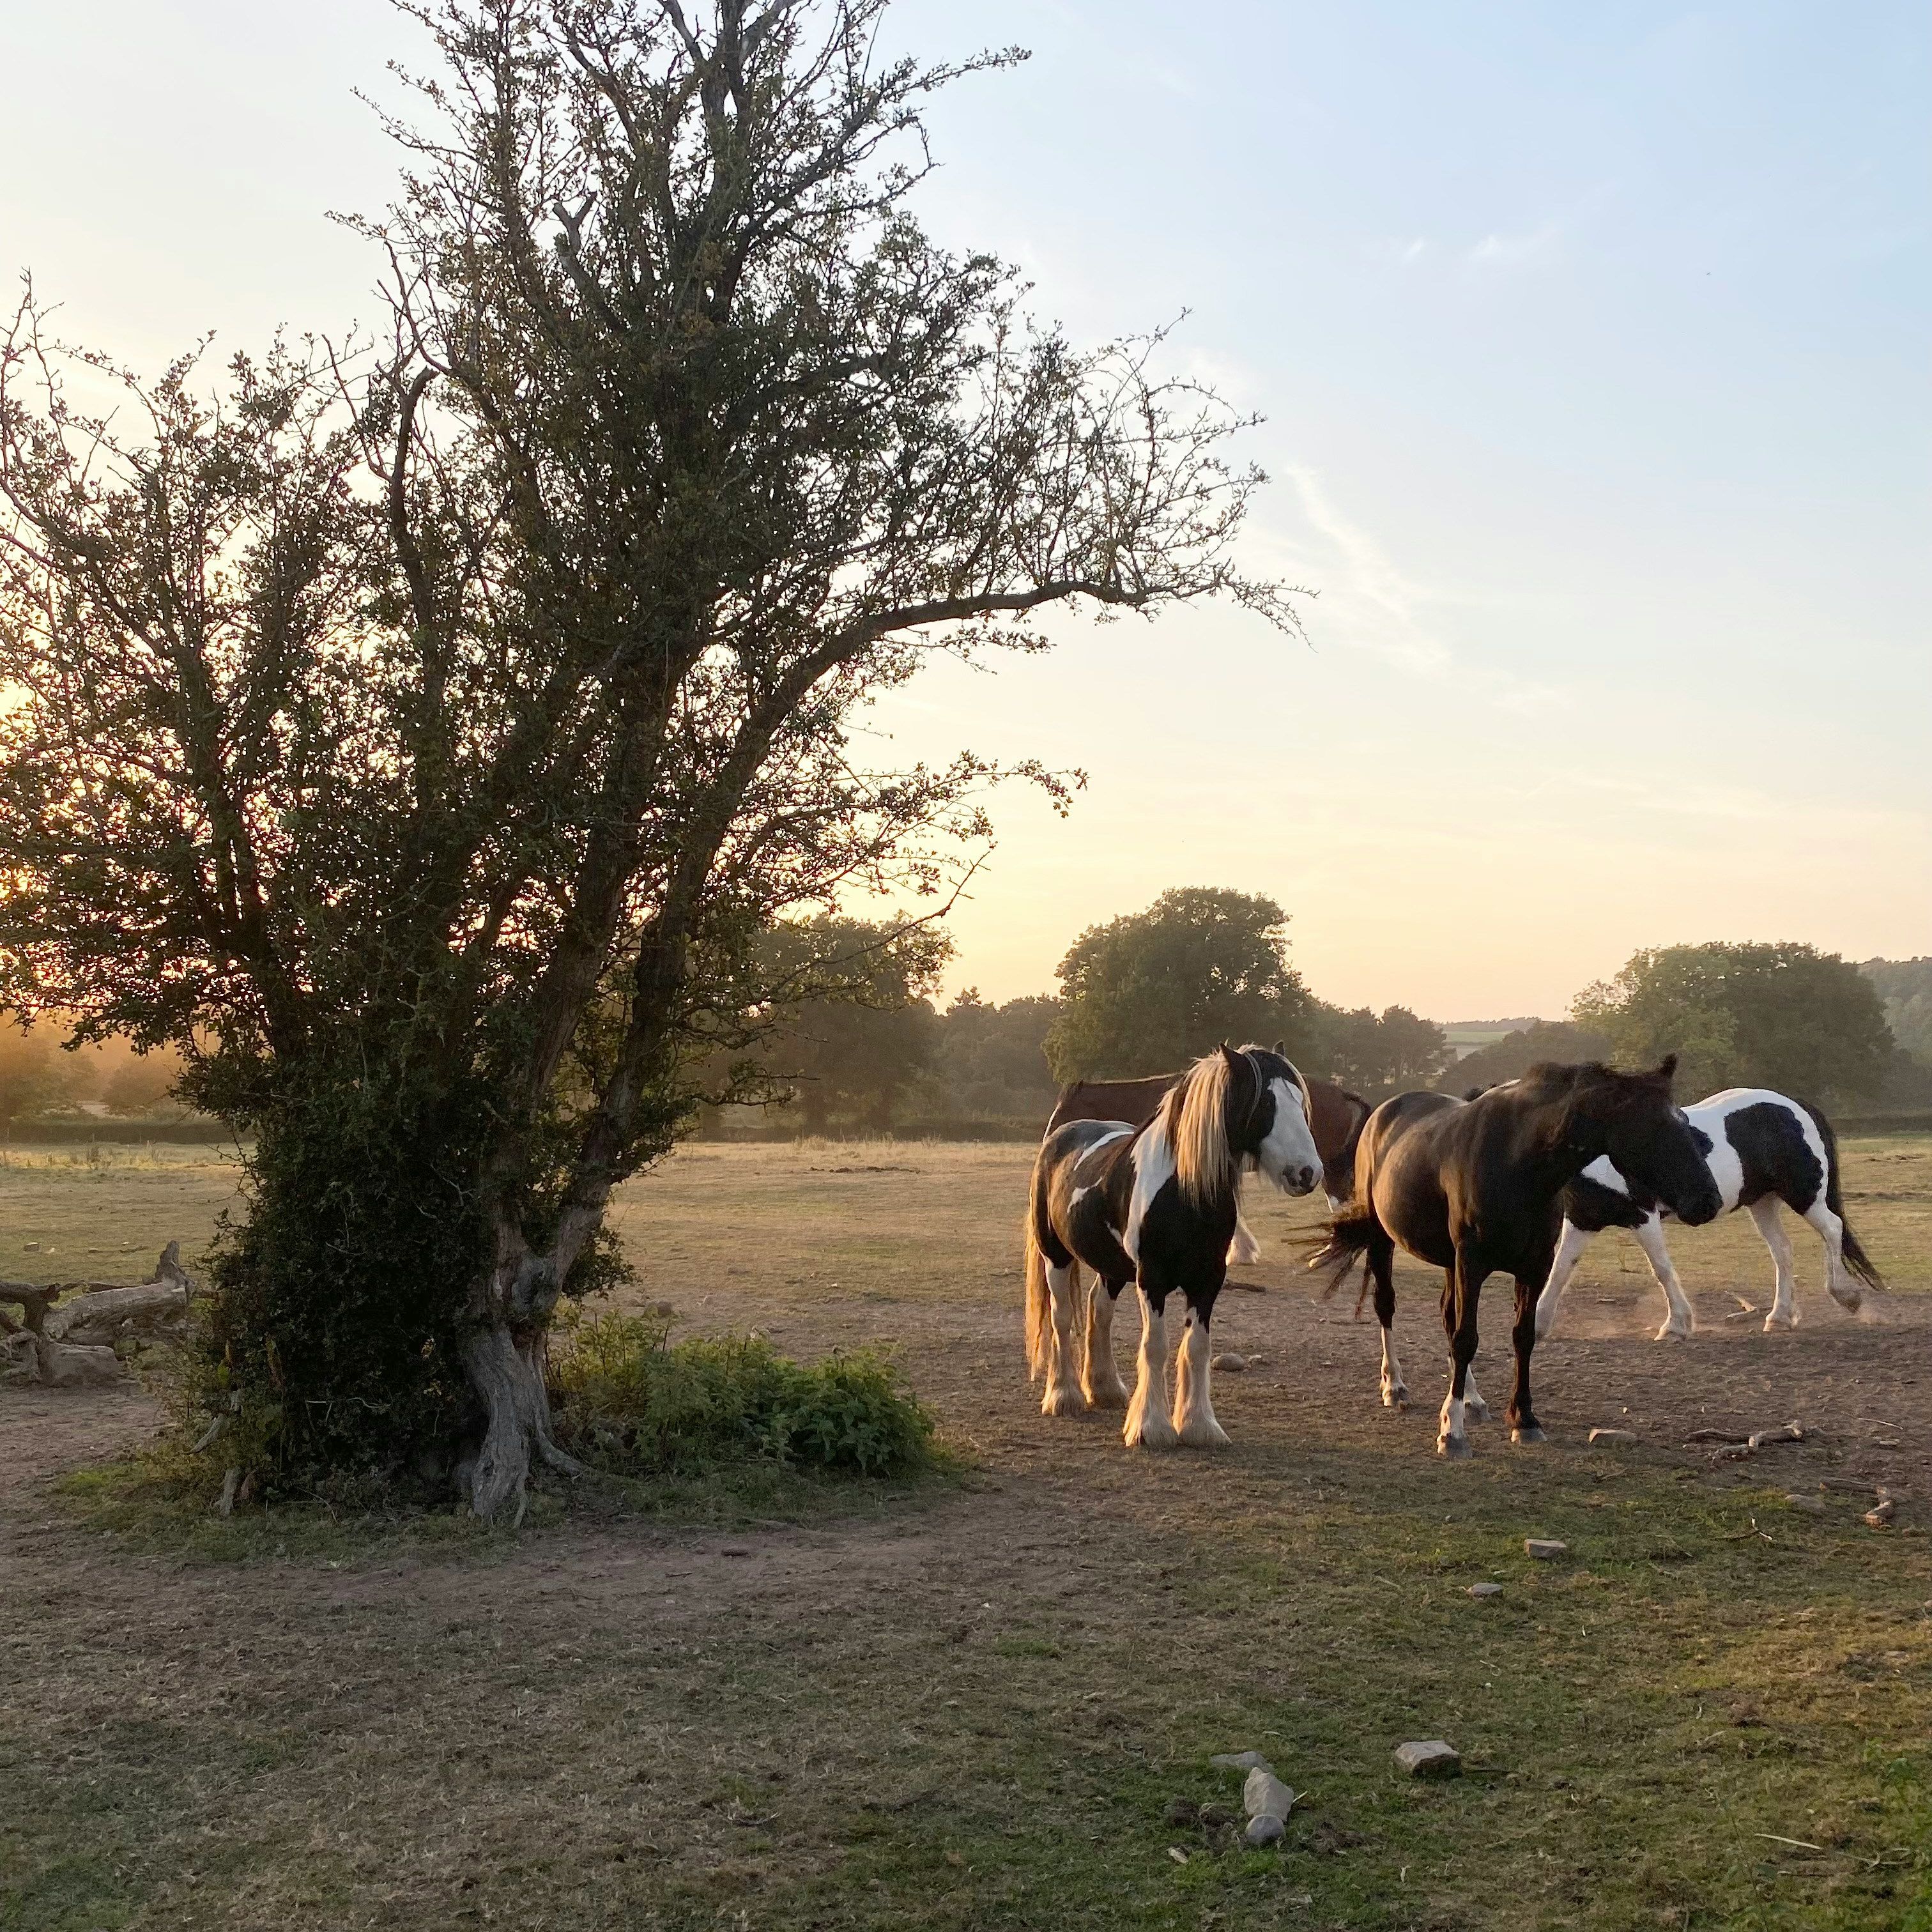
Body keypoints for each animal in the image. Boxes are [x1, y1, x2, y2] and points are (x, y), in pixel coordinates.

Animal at [1024, 1044, 1323, 1449]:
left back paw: (1105, 1389)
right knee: (1063, 1316)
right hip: (1056, 1256)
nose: (1308, 1173)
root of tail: (1060, 1134)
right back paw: (1064, 1396)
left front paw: (1200, 1426)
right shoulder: (1152, 1279)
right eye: (1265, 1103)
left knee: (1098, 1308)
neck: (1182, 1190)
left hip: (1113, 1267)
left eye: (1300, 1102)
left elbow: (1197, 1347)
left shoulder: (1208, 1279)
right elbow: (1156, 1346)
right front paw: (1151, 1428)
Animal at [1309, 1058, 1722, 1459]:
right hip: (1385, 1240)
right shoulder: (1472, 1264)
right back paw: (1395, 1386)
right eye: (1655, 1127)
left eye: (1685, 1123)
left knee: (1446, 1315)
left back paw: (1471, 1399)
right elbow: (1466, 1338)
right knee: (1387, 1306)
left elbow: (1521, 1336)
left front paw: (1523, 1419)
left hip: (1449, 1261)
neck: (1518, 1164)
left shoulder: (1532, 1268)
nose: (1710, 1200)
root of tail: (1382, 1113)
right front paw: (1452, 1433)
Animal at [1534, 1087, 1885, 1341]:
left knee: (1833, 1228)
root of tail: (1795, 1105)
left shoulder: (1642, 1216)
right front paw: (1537, 1326)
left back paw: (1845, 1295)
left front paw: (1676, 1326)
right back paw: (1779, 1317)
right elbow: (1560, 1269)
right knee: (1783, 1252)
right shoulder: (1583, 1220)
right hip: (1763, 1202)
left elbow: (1661, 1270)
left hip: (1805, 1195)